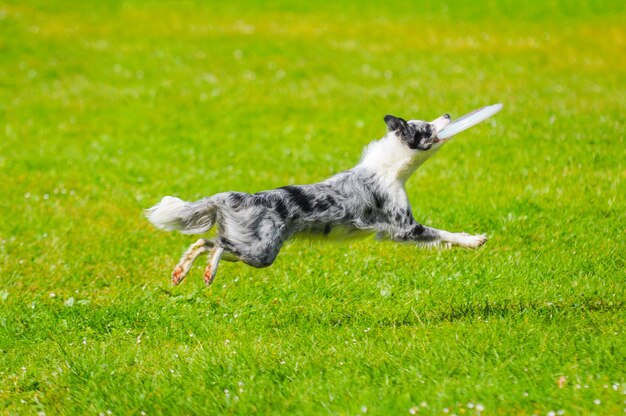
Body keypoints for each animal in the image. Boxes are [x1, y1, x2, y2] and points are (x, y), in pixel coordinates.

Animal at [144, 114, 486, 286]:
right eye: (426, 127)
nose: (447, 114)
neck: (389, 167)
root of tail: (237, 196)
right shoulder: (405, 228)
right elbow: (445, 234)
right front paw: (474, 240)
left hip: (252, 246)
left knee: (204, 242)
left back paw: (181, 272)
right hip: (261, 252)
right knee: (217, 246)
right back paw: (208, 273)